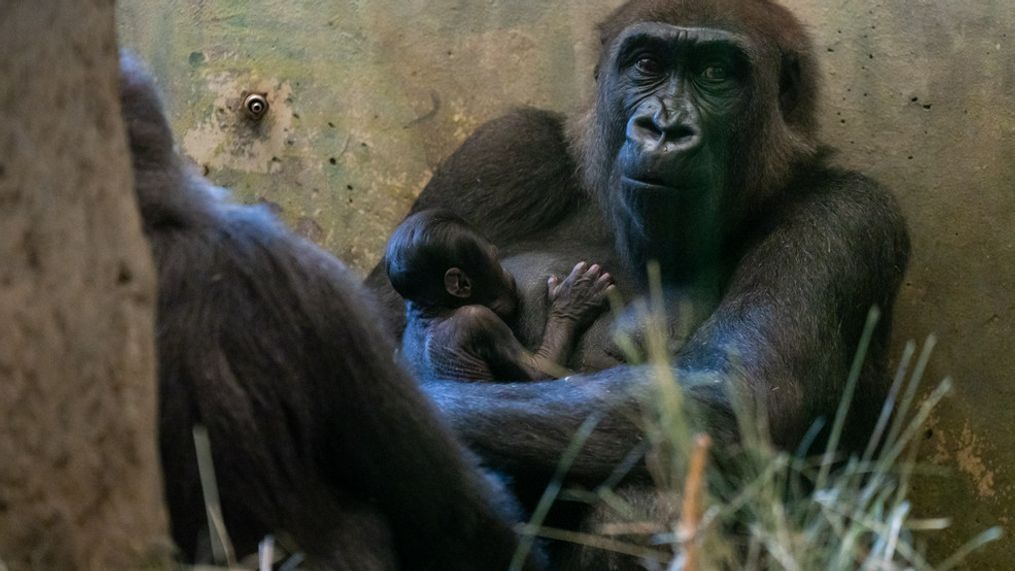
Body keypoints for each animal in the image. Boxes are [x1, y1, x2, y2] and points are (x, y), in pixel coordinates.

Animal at [385, 207, 609, 381]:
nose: (507, 273)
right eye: (494, 259)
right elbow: (538, 370)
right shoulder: (480, 320)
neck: (433, 309)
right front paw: (571, 303)